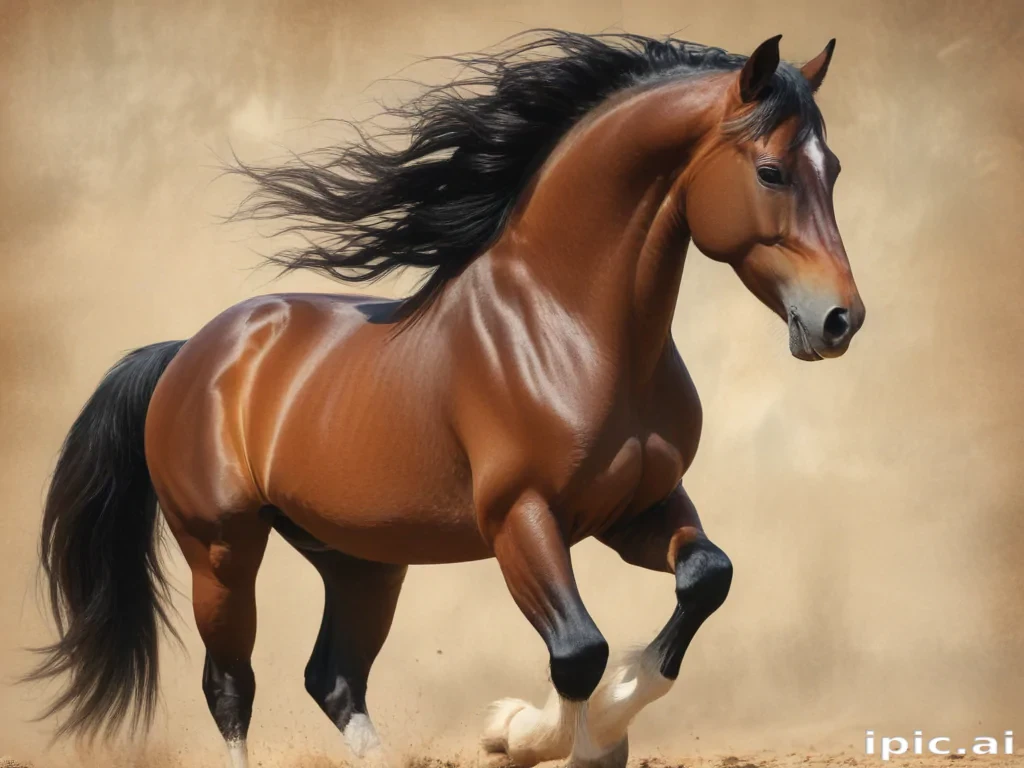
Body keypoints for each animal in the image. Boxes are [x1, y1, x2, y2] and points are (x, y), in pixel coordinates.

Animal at [27, 29, 864, 768]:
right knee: (231, 687)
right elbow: (578, 650)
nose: (840, 320)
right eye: (771, 172)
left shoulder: (636, 509)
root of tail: (191, 352)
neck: (572, 330)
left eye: (833, 169)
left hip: (359, 560)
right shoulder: (520, 518)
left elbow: (705, 580)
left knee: (333, 678)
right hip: (222, 550)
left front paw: (599, 729)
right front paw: (519, 734)